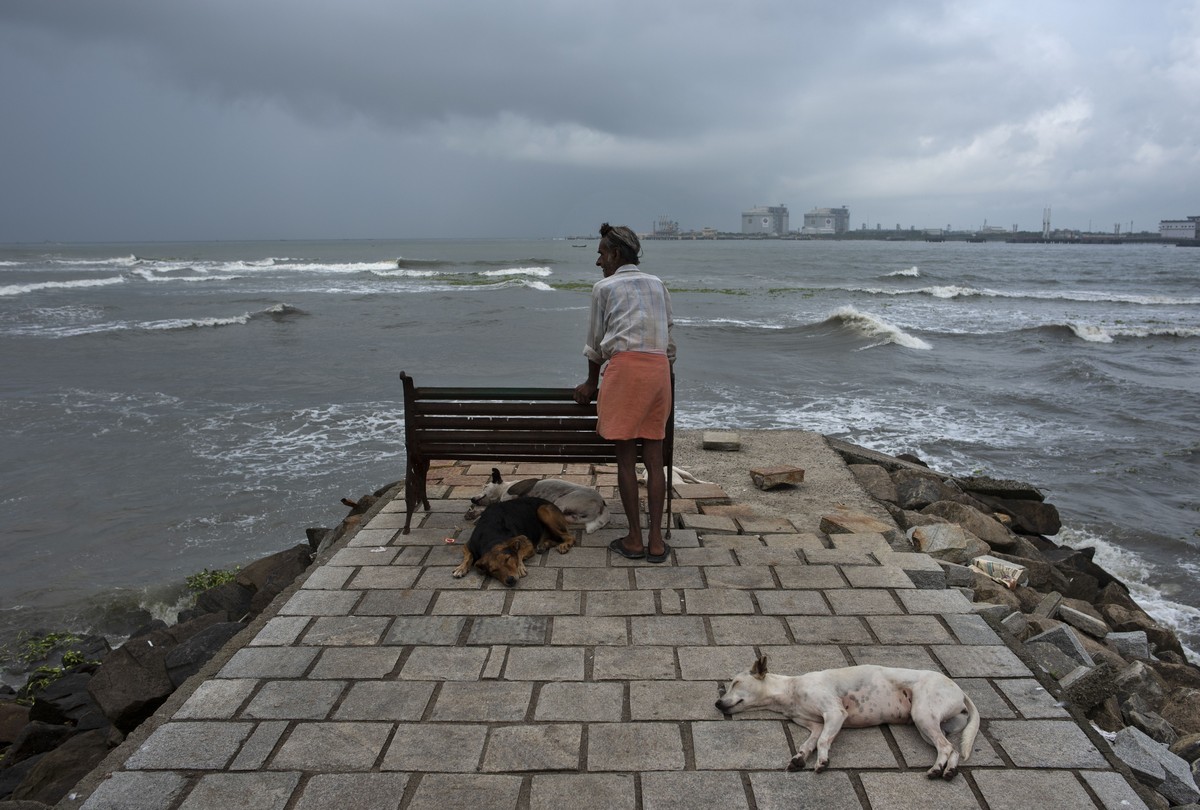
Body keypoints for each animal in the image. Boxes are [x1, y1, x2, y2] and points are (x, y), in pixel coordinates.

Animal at [463, 465, 604, 535]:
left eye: (485, 486)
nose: (472, 499)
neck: (504, 488)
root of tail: (602, 504)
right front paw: (472, 513)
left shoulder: (509, 496)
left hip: (560, 502)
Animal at [715, 652, 979, 777]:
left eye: (736, 683)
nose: (717, 703)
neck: (789, 690)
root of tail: (959, 689)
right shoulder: (815, 724)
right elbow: (809, 743)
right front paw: (800, 758)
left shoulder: (834, 713)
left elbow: (823, 741)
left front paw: (822, 761)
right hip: (927, 726)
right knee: (953, 749)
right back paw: (949, 771)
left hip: (923, 715)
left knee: (946, 747)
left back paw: (937, 769)